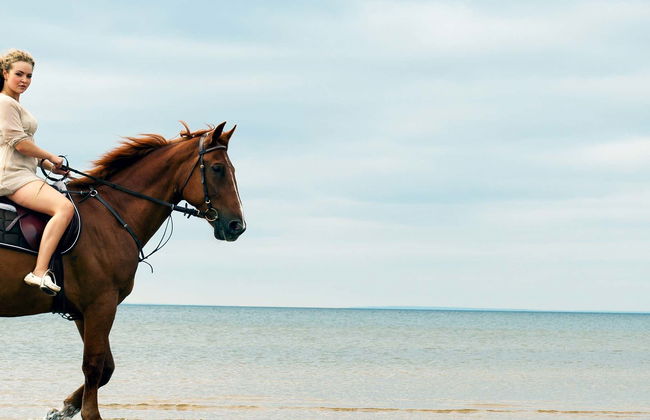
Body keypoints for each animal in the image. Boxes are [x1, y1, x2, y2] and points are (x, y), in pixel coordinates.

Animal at [0, 121, 245, 420]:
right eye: (217, 168)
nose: (237, 225)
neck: (111, 217)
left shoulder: (83, 311)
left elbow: (106, 368)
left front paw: (65, 407)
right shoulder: (101, 305)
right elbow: (94, 366)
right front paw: (88, 412)